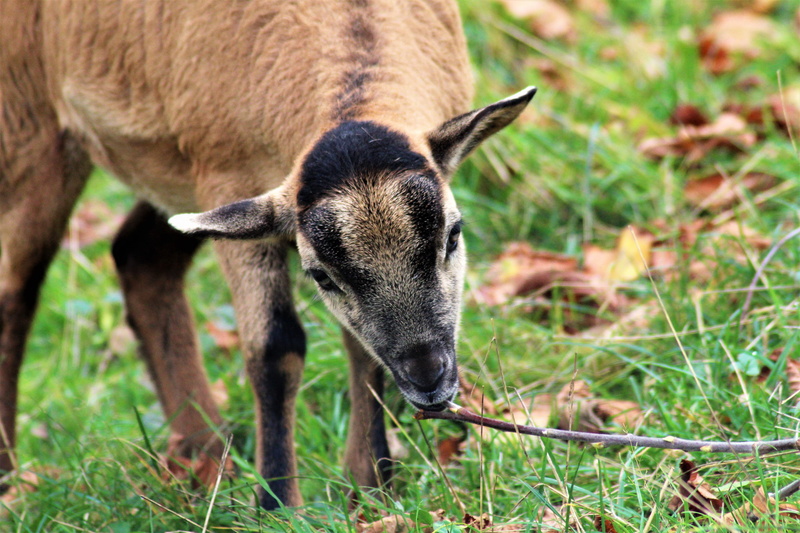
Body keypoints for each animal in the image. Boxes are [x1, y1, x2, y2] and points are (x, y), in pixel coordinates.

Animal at [0, 0, 536, 509]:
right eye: (321, 276)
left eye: (453, 235)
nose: (428, 378)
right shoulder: (229, 183)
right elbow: (275, 349)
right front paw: (278, 503)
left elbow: (360, 350)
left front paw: (370, 488)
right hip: (30, 130)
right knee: (15, 290)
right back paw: (11, 478)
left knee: (139, 257)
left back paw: (205, 458)